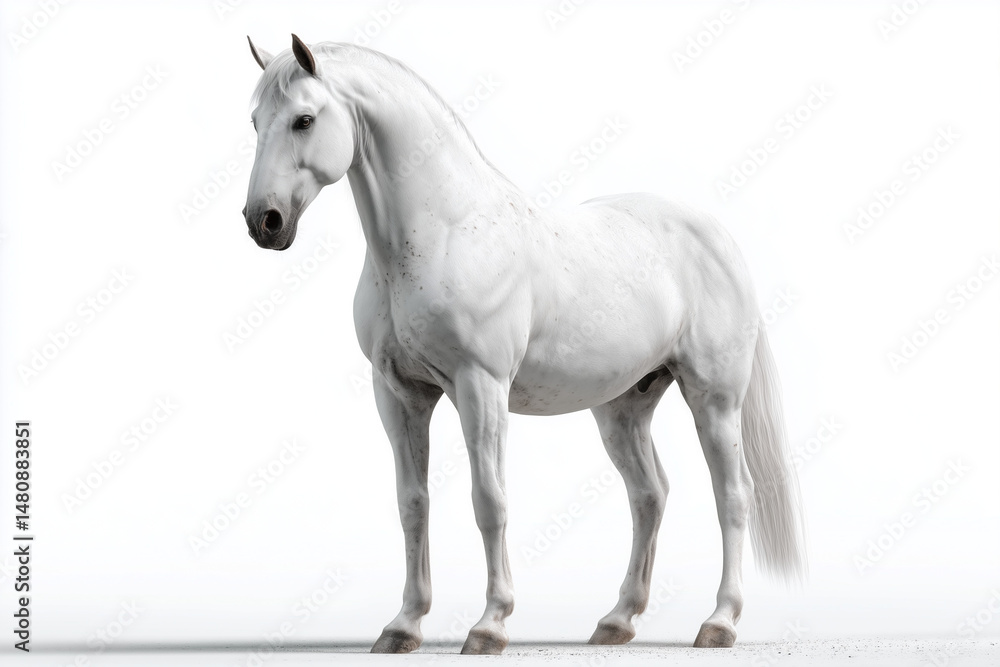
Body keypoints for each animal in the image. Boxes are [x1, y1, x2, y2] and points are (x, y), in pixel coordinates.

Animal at [242, 34, 806, 655]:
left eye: (304, 119)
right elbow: (413, 504)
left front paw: (489, 625)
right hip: (624, 408)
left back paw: (720, 622)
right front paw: (403, 625)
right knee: (649, 495)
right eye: (255, 121)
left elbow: (489, 501)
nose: (263, 221)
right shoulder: (397, 393)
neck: (445, 231)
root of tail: (717, 235)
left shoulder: (480, 387)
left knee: (732, 495)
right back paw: (617, 621)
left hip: (714, 399)